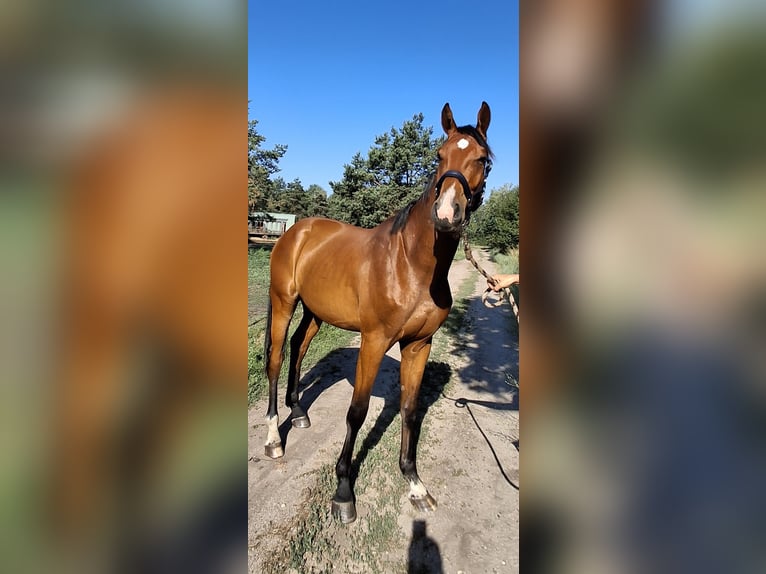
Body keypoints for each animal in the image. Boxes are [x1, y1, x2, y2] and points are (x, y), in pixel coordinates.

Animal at [264, 101, 494, 523]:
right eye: (439, 156)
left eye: (482, 160)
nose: (445, 214)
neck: (410, 266)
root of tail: (296, 230)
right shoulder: (374, 341)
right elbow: (357, 412)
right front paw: (343, 491)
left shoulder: (419, 345)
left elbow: (409, 409)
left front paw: (415, 483)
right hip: (284, 301)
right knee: (276, 356)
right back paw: (274, 438)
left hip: (314, 311)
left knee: (299, 346)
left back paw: (299, 411)